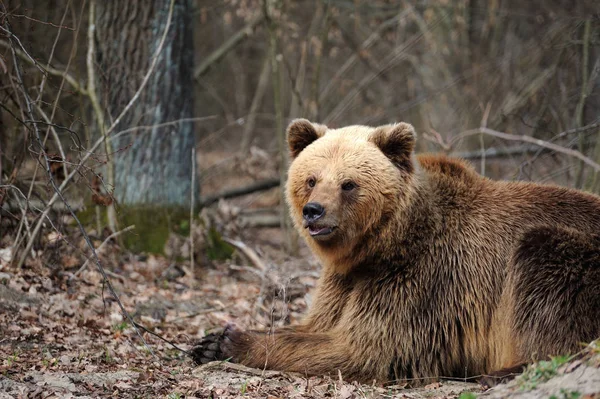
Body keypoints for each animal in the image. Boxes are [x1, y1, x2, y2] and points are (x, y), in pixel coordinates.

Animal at [193, 119, 600, 388]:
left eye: (348, 183)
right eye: (311, 178)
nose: (314, 211)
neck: (380, 245)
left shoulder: (421, 280)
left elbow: (366, 349)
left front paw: (233, 342)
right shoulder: (344, 282)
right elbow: (318, 325)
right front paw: (208, 341)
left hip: (569, 256)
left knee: (542, 278)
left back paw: (501, 371)